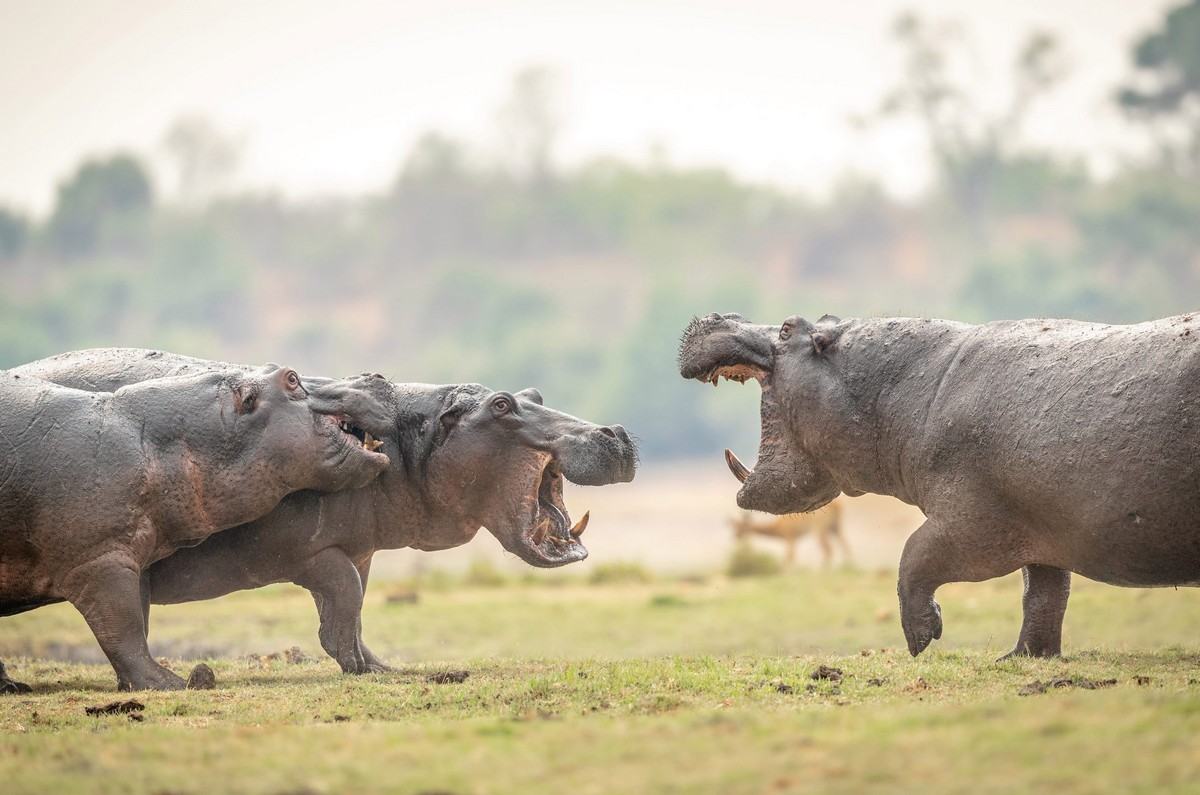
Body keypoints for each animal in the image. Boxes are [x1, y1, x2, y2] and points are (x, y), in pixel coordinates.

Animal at [0, 362, 388, 691]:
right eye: (291, 379)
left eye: (272, 367)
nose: (373, 377)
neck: (151, 440)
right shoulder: (100, 560)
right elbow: (123, 624)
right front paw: (169, 683)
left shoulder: (134, 560)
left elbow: (137, 619)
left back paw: (13, 687)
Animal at [18, 348, 638, 672]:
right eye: (503, 405)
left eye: (534, 394)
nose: (614, 432)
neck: (409, 440)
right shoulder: (309, 551)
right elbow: (342, 597)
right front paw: (363, 669)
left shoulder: (361, 549)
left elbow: (356, 608)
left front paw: (381, 668)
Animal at [681, 312, 1200, 658]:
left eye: (789, 328)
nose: (720, 315)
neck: (903, 387)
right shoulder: (1042, 528)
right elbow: (1044, 592)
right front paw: (1021, 659)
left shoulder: (975, 526)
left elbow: (914, 557)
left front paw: (921, 640)